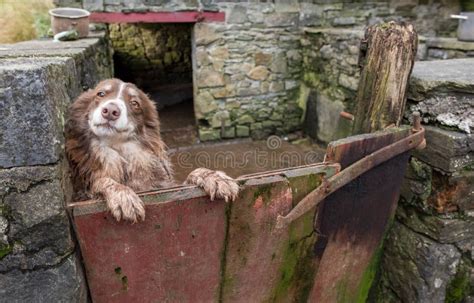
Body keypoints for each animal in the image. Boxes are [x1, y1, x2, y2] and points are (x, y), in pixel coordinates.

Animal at [65, 78, 239, 223]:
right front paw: (124, 197)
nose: (111, 110)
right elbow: (103, 181)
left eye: (135, 103)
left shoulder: (164, 187)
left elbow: (192, 174)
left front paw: (215, 178)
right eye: (101, 94)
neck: (119, 151)